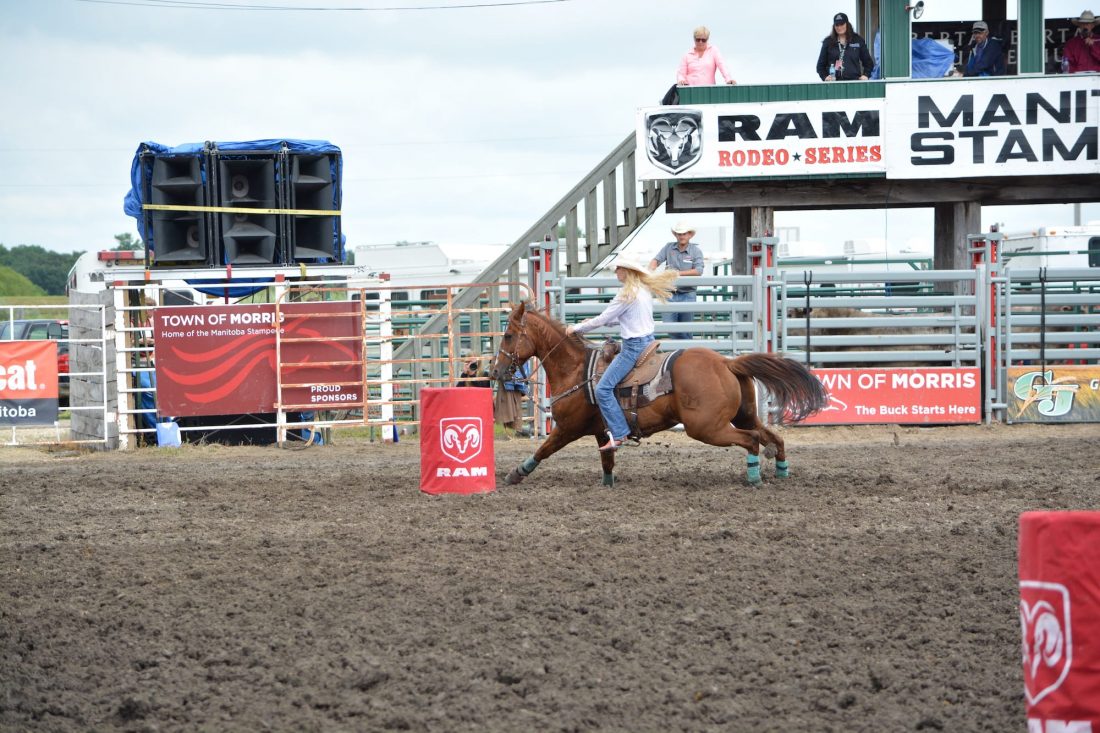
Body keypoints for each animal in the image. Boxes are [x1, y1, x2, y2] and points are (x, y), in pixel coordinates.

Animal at [490, 299, 827, 488]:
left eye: (508, 335)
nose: (495, 371)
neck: (575, 369)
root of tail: (726, 362)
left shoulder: (568, 428)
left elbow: (543, 450)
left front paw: (515, 474)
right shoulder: (601, 431)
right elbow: (607, 461)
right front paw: (607, 485)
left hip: (706, 427)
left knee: (752, 440)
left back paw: (755, 478)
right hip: (743, 415)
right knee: (773, 438)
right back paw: (781, 472)